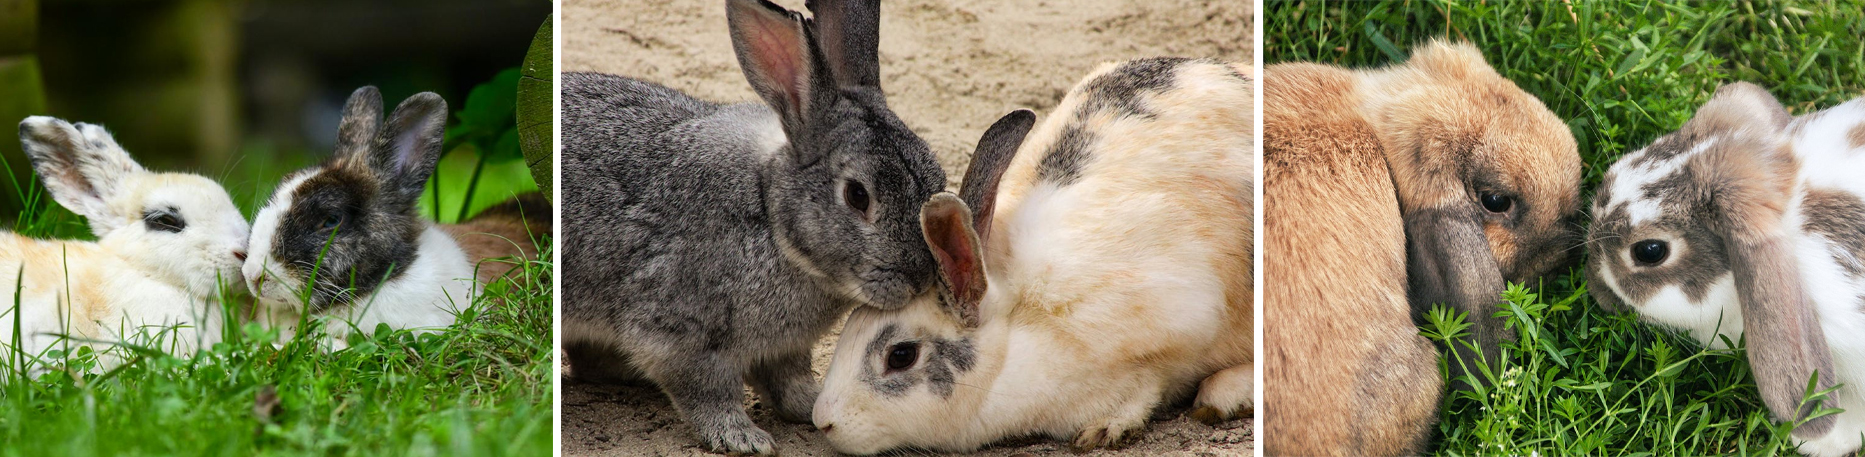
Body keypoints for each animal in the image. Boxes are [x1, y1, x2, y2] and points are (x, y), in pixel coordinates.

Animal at [555, 0, 947, 453]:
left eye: (937, 180)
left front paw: (811, 405)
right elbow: (706, 390)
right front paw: (743, 437)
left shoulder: (784, 349)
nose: (920, 278)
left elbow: (788, 382)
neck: (770, 216)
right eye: (857, 196)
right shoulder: (678, 332)